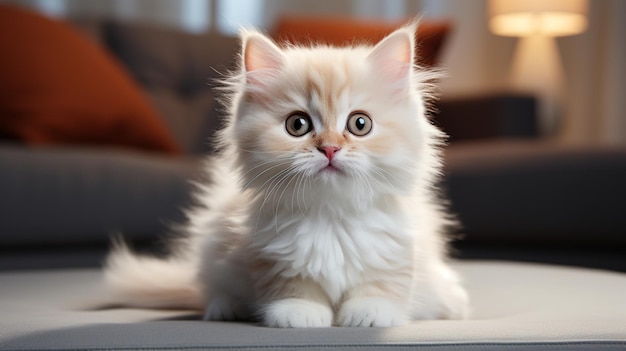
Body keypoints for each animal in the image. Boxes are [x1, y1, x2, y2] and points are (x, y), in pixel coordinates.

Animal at [105, 23, 468, 328]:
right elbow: (291, 287)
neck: (330, 215)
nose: (330, 149)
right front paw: (299, 313)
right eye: (298, 125)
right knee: (214, 289)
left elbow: (384, 283)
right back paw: (226, 308)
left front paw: (369, 312)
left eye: (360, 124)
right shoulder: (269, 252)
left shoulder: (398, 244)